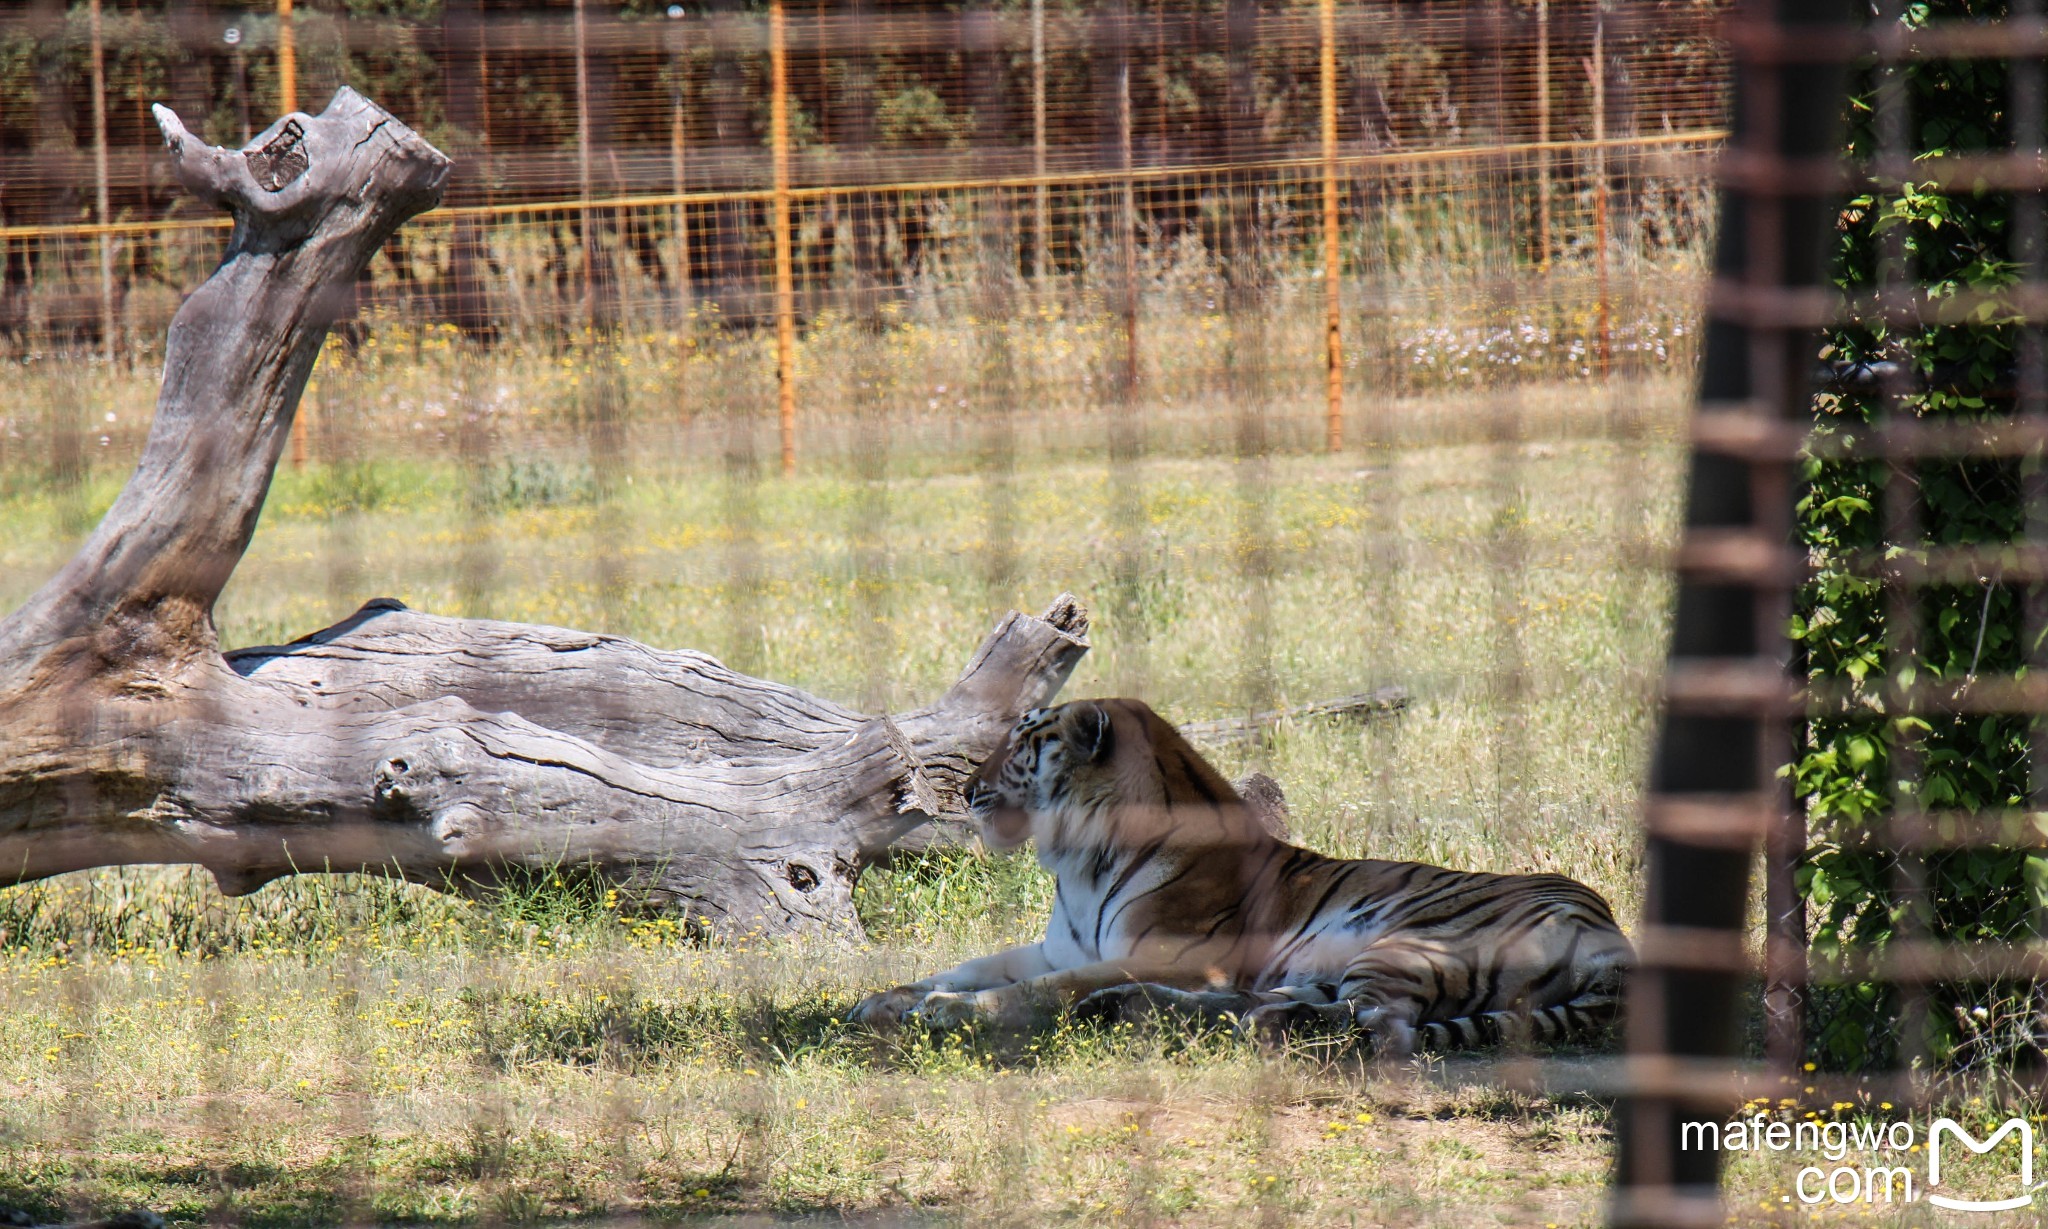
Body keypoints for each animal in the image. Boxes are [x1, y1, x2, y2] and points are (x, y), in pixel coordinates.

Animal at [847, 696, 1630, 1048]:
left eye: (1021, 748)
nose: (966, 790)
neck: (1078, 861)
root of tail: (1614, 941)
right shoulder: (1056, 946)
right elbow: (969, 965)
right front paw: (885, 999)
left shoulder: (1165, 953)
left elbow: (1039, 988)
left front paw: (946, 1011)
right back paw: (1137, 1009)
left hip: (1405, 945)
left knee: (1375, 1024)